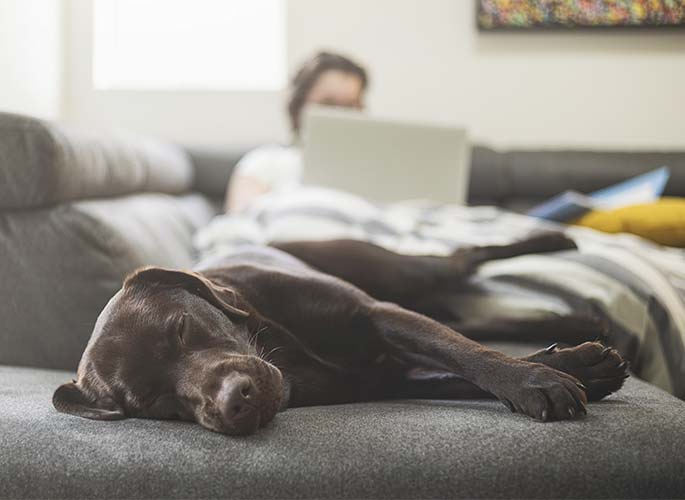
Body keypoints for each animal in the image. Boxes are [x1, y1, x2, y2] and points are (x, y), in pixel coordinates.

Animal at [54, 234, 624, 434]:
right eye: (153, 402)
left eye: (183, 329)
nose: (234, 403)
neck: (287, 356)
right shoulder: (390, 379)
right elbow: (457, 370)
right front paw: (577, 369)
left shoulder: (376, 313)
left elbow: (467, 356)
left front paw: (535, 382)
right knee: (480, 319)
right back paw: (580, 322)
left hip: (398, 272)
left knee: (466, 258)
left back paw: (560, 239)